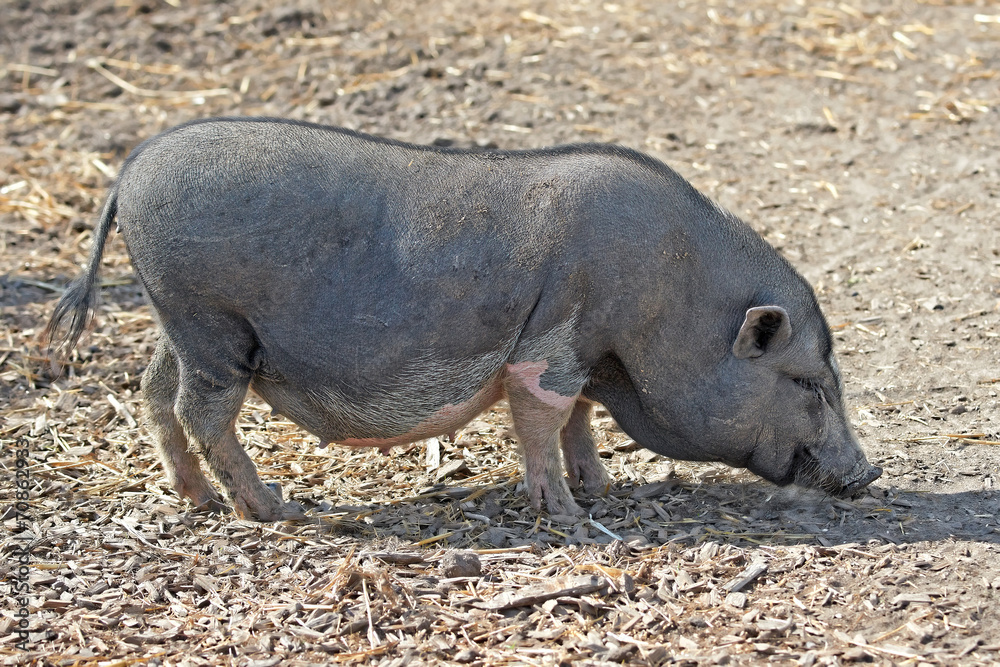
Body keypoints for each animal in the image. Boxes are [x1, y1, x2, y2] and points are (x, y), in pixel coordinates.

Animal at [46, 117, 882, 521]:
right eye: (808, 381)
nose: (869, 471)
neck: (669, 302)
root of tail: (129, 170)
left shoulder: (585, 351)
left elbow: (578, 416)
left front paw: (602, 487)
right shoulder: (556, 339)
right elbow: (545, 416)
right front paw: (570, 513)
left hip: (177, 321)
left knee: (155, 394)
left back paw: (198, 499)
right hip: (212, 322)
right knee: (202, 410)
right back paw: (274, 507)